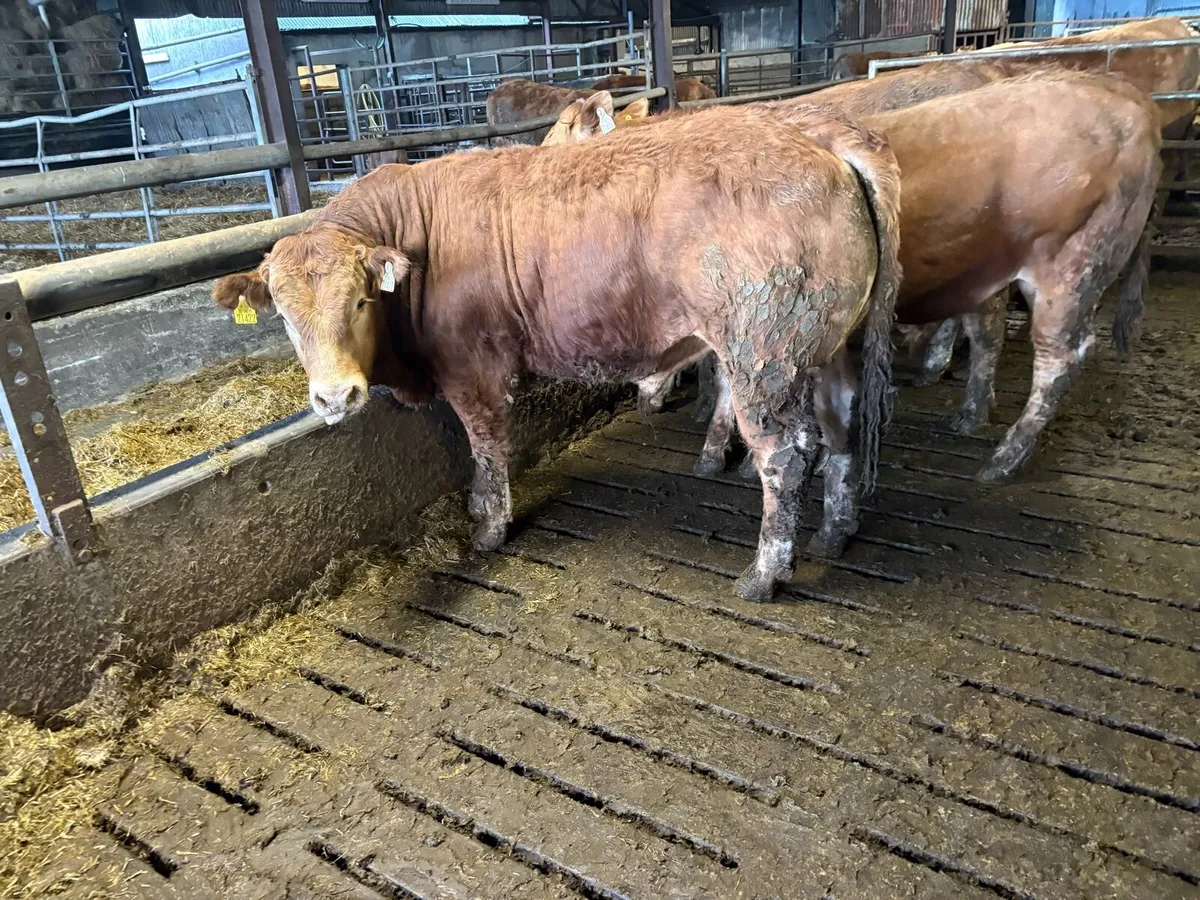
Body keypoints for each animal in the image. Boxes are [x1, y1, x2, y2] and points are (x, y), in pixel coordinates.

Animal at [212, 103, 902, 602]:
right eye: (283, 316)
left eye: (358, 301)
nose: (335, 397)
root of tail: (815, 134)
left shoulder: (473, 370)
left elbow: (487, 448)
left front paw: (489, 527)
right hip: (833, 348)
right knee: (841, 431)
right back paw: (834, 533)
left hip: (763, 355)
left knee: (785, 456)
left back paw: (764, 574)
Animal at [547, 70, 1162, 484]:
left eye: (558, 137)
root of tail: (1123, 95)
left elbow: (730, 383)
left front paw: (718, 452)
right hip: (990, 266)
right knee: (986, 330)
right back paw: (964, 410)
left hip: (1072, 264)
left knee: (1059, 358)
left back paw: (1002, 459)